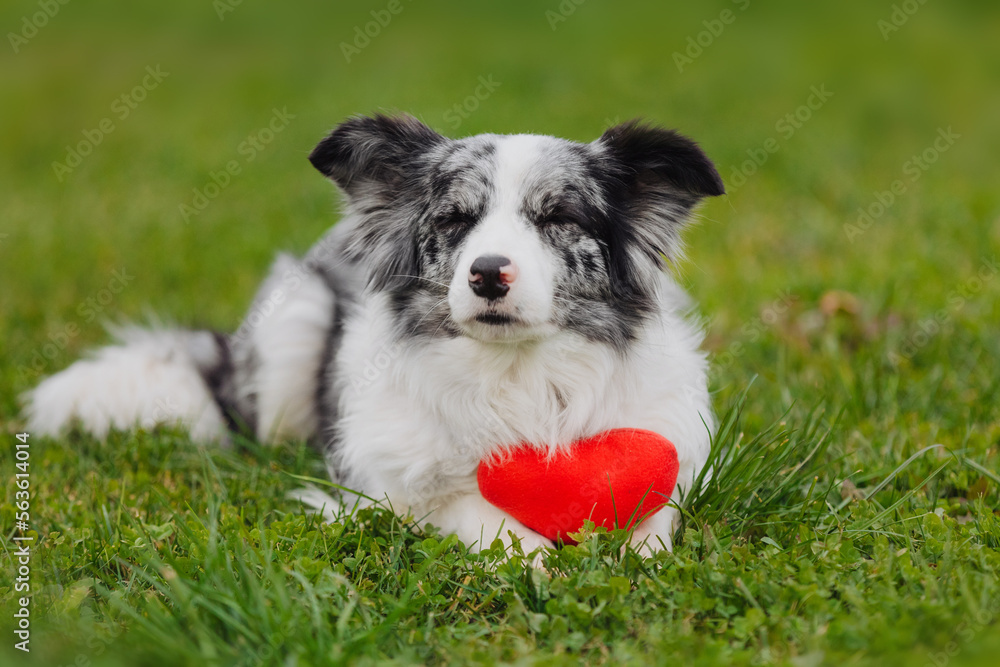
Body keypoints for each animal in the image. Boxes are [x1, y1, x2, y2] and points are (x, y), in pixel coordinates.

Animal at [25, 115, 728, 560]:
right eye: (454, 219)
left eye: (558, 216)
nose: (486, 273)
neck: (517, 376)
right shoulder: (392, 486)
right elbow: (482, 515)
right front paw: (541, 561)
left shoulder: (665, 450)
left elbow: (653, 524)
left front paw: (633, 561)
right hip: (295, 316)